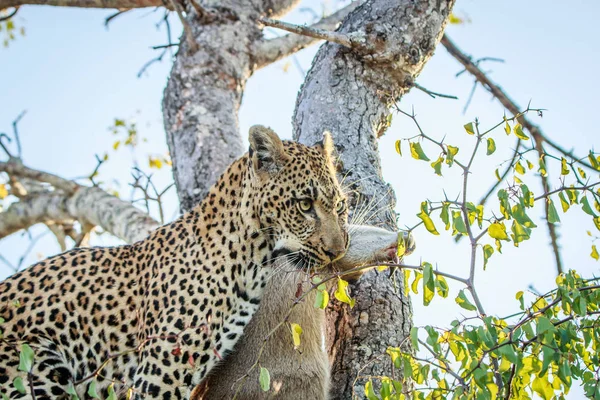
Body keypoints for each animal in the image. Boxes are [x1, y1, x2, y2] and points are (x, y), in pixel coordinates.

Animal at [0, 126, 346, 400]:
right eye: (305, 205)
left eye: (340, 206)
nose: (338, 251)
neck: (251, 262)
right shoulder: (159, 375)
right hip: (35, 365)